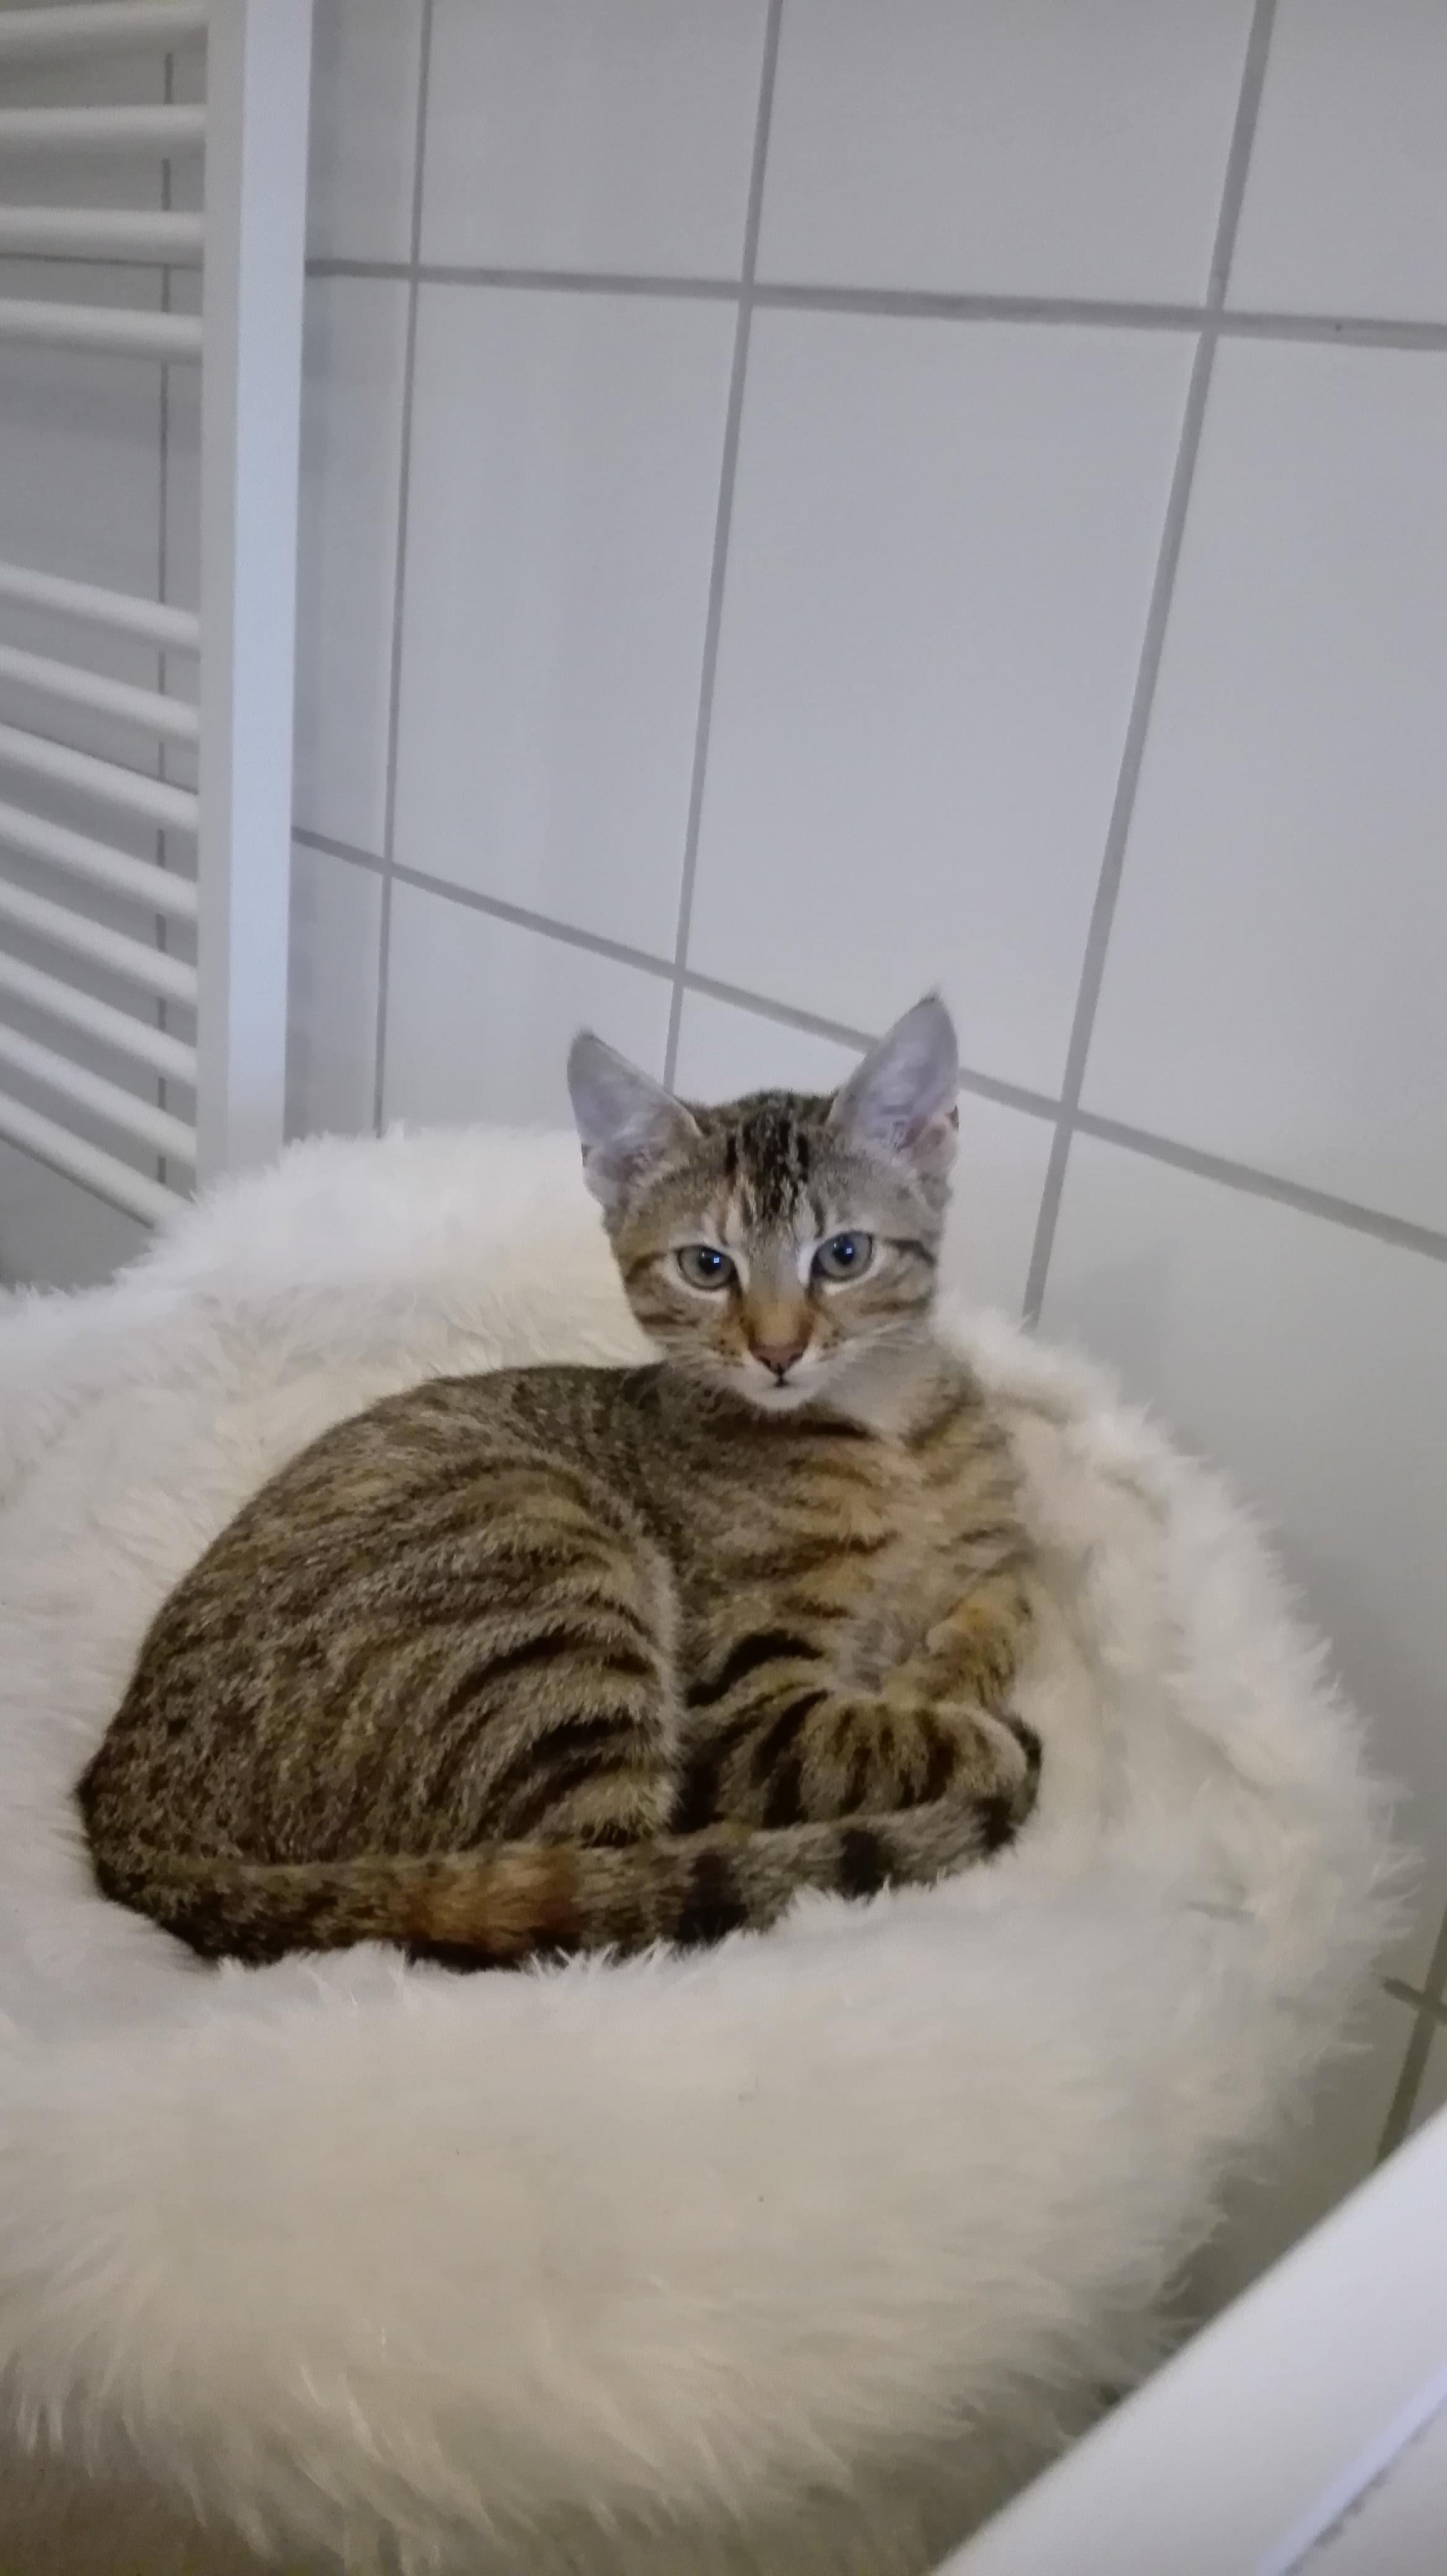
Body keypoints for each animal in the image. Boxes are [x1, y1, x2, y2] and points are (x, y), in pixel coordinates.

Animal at [78, 994, 1041, 1970]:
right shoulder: (745, 1711)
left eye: (843, 1255)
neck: (890, 1434)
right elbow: (880, 1733)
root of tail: (123, 1818)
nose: (778, 1350)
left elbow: (1006, 1609)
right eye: (707, 1266)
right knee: (610, 1882)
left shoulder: (1001, 1552)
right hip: (549, 1580)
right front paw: (960, 1725)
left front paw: (944, 1669)